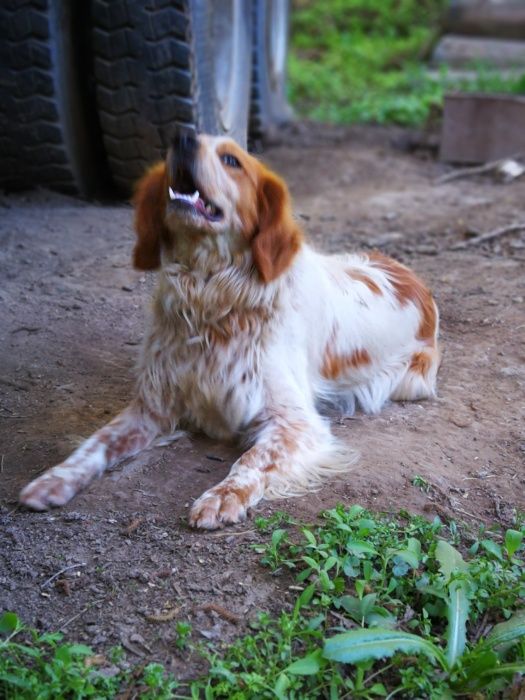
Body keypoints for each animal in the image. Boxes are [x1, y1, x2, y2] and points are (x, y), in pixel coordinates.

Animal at [19, 131, 438, 528]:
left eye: (231, 160)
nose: (182, 136)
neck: (210, 297)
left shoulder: (295, 423)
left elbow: (252, 460)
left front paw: (222, 496)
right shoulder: (152, 406)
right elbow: (96, 442)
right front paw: (55, 478)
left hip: (411, 382)